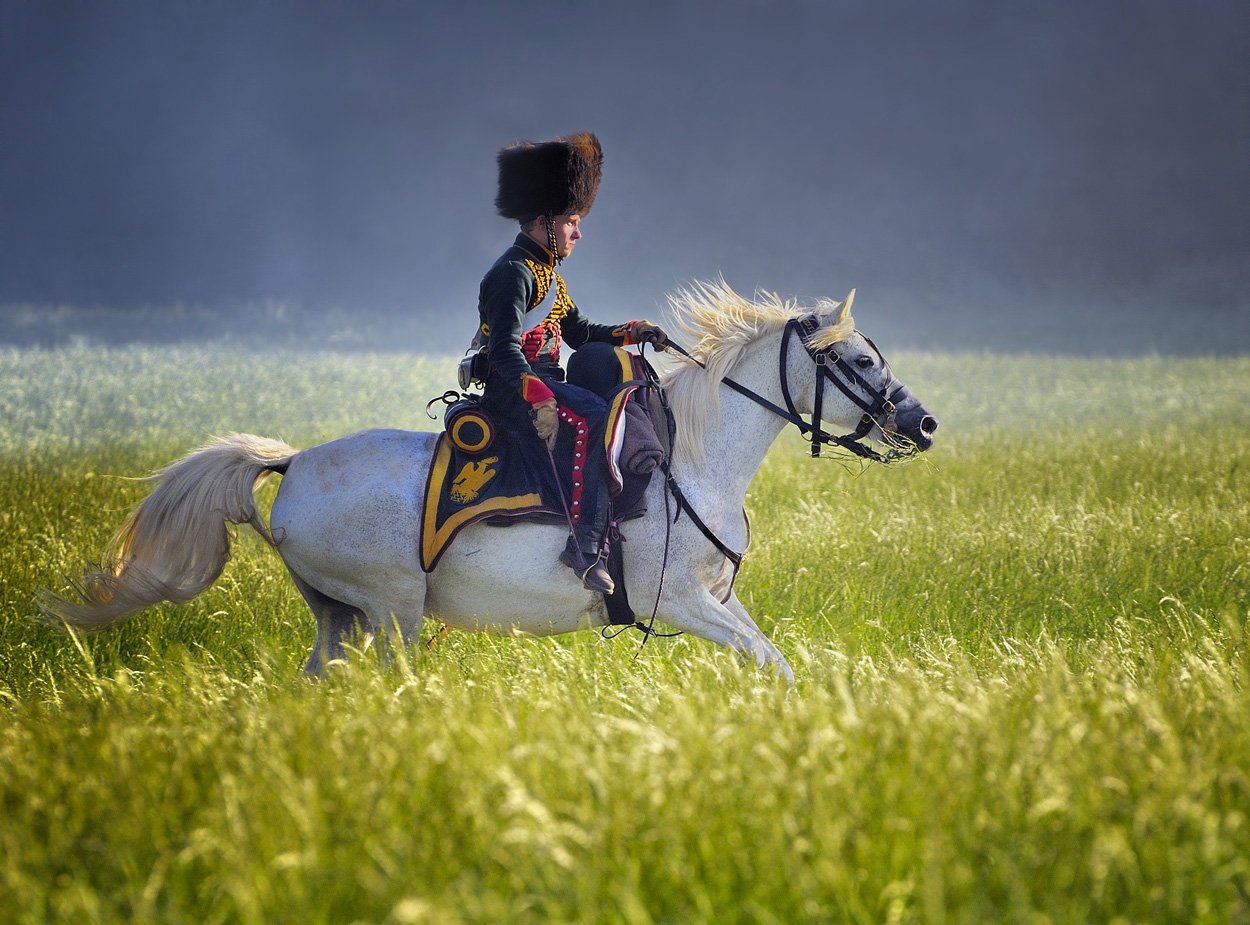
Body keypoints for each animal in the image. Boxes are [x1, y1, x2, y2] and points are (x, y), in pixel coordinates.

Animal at [39, 285, 940, 685]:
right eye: (858, 360)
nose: (924, 422)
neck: (692, 460)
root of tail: (291, 465)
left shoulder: (719, 597)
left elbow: (776, 660)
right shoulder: (680, 601)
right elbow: (769, 660)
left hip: (340, 616)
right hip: (393, 610)